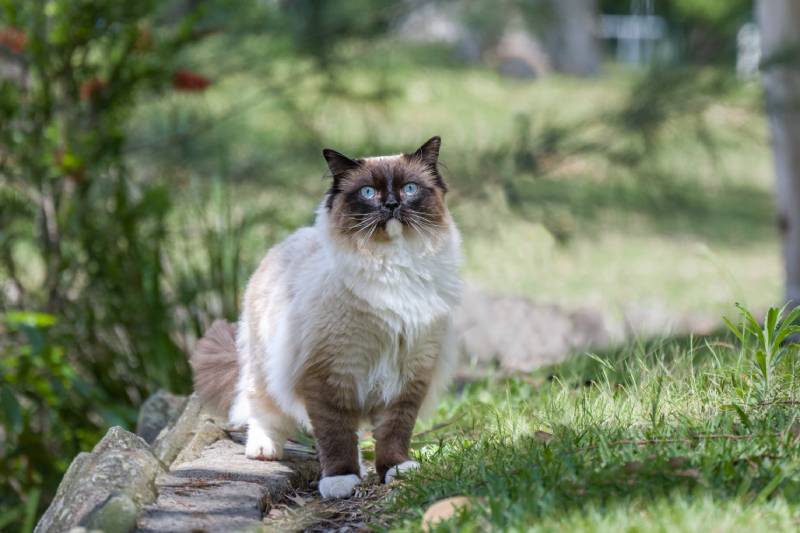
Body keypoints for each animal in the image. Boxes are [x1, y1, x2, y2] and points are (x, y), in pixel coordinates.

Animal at [189, 137, 462, 498]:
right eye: (368, 193)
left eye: (410, 188)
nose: (391, 204)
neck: (391, 265)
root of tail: (283, 243)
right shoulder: (330, 374)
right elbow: (335, 435)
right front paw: (340, 481)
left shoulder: (409, 373)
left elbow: (394, 431)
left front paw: (396, 470)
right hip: (265, 367)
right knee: (258, 407)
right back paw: (263, 450)